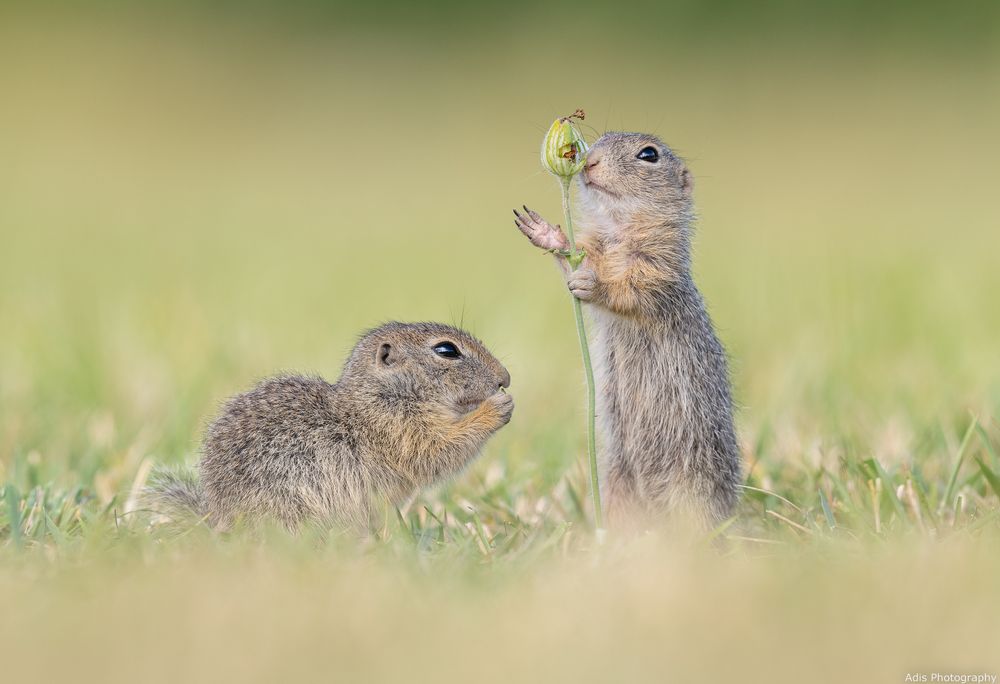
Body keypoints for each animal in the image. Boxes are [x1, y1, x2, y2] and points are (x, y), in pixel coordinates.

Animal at [146, 320, 516, 528]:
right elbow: (436, 452)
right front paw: (495, 408)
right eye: (447, 350)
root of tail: (215, 521)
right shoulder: (399, 428)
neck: (382, 393)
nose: (505, 378)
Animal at [516, 132, 744, 528]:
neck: (619, 228)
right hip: (619, 478)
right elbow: (577, 258)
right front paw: (547, 235)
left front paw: (595, 286)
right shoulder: (596, 248)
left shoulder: (658, 266)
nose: (590, 161)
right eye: (599, 140)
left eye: (649, 155)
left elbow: (632, 291)